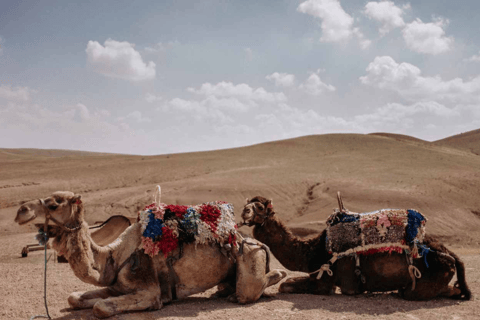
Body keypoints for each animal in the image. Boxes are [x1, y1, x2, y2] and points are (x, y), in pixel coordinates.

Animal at [14, 191, 284, 318]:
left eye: (54, 204)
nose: (21, 210)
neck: (113, 256)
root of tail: (255, 241)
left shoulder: (148, 289)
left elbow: (101, 307)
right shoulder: (117, 286)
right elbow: (74, 298)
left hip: (250, 255)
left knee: (250, 289)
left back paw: (273, 278)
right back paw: (224, 290)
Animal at [240, 194, 468, 302]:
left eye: (259, 207)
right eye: (247, 204)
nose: (244, 212)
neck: (313, 252)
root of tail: (452, 256)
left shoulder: (326, 281)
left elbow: (285, 286)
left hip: (426, 279)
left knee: (412, 292)